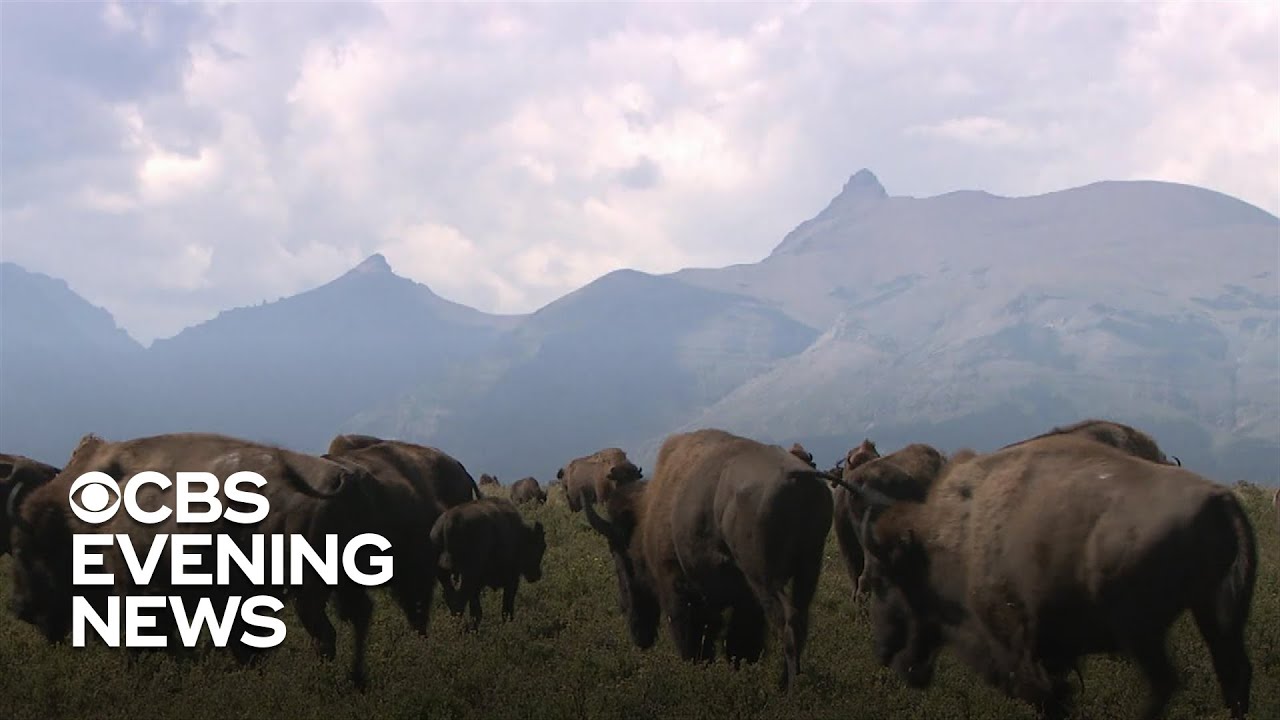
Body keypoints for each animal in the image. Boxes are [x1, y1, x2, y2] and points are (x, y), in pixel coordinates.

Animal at [9, 432, 384, 687]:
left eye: (27, 550)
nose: (20, 607)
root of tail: (345, 478)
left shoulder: (134, 590)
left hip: (310, 589)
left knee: (325, 633)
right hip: (343, 581)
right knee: (356, 618)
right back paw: (356, 681)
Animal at [430, 497, 546, 630]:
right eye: (541, 546)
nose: (537, 575)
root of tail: (448, 523)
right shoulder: (511, 580)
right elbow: (506, 607)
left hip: (444, 575)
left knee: (452, 598)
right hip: (468, 576)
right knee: (460, 600)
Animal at [581, 428, 833, 691]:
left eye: (618, 551)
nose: (639, 635)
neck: (647, 514)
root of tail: (799, 476)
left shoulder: (678, 589)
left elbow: (693, 638)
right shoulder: (742, 599)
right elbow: (739, 644)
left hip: (765, 578)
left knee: (787, 622)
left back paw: (788, 688)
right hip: (808, 569)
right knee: (800, 619)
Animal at [849, 433, 1256, 720]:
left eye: (885, 579)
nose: (885, 652)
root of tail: (1220, 499)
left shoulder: (1018, 647)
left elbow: (1045, 696)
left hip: (1141, 629)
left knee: (1167, 682)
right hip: (1215, 615)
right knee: (1232, 678)